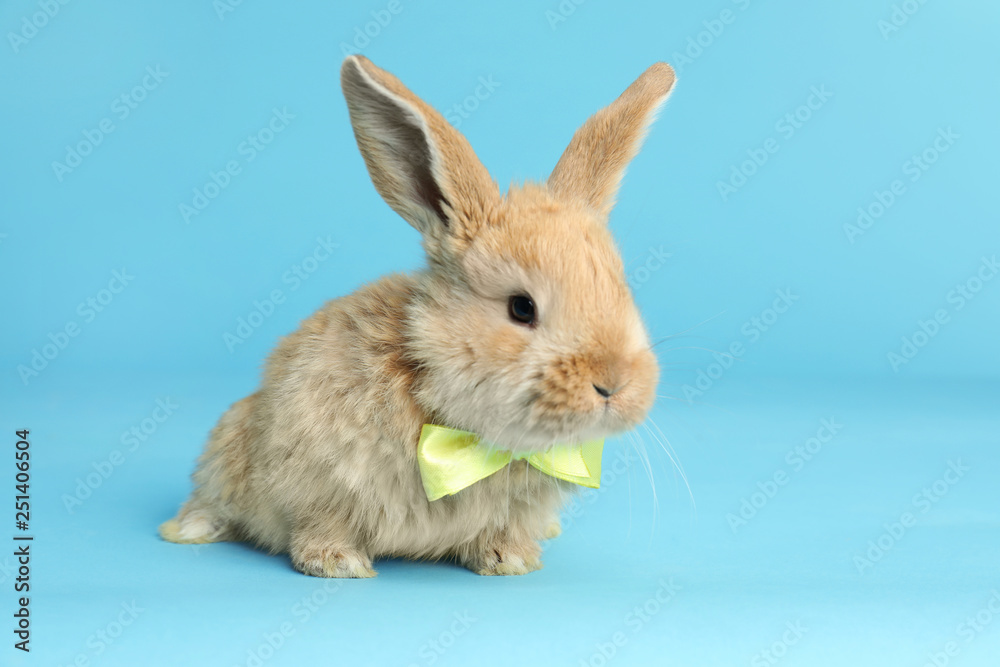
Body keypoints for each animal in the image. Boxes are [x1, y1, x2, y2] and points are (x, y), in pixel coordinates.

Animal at [162, 56, 680, 580]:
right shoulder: (315, 480)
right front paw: (338, 564)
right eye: (521, 307)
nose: (614, 385)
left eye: (622, 289)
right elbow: (321, 524)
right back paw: (188, 529)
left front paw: (510, 560)